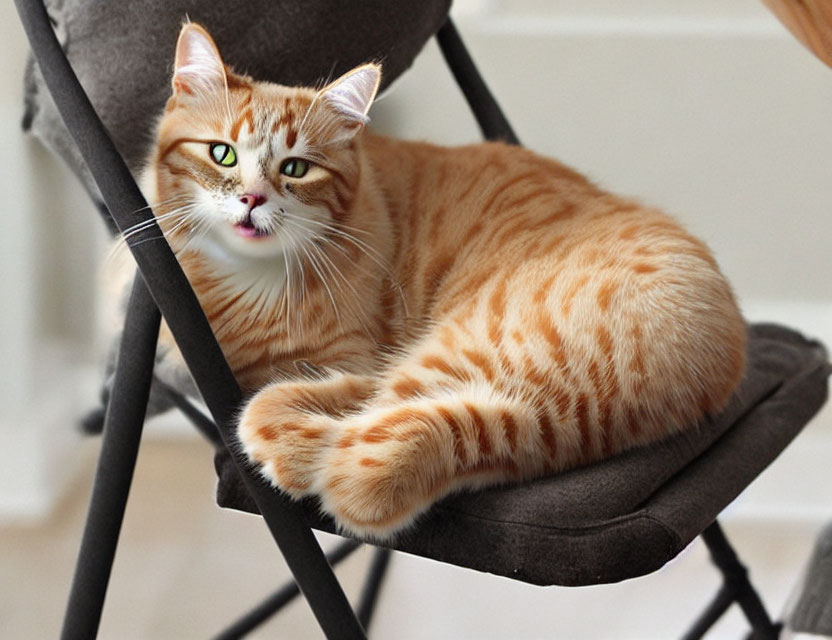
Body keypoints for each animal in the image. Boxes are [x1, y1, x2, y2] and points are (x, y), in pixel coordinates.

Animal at [125, 23, 748, 536]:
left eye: (296, 168)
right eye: (222, 154)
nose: (252, 199)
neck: (244, 284)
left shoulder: (354, 354)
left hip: (454, 341)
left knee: (345, 408)